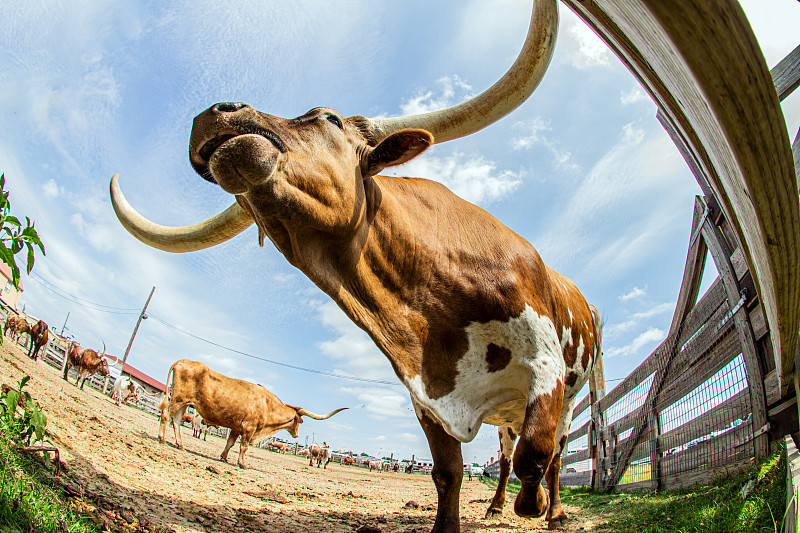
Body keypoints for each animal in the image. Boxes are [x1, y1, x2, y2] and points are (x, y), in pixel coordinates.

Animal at [158, 360, 346, 468]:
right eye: (299, 422)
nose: (297, 435)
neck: (267, 406)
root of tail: (183, 361)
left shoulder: (236, 428)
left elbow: (230, 443)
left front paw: (224, 458)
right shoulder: (249, 428)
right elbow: (244, 447)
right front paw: (242, 464)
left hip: (184, 404)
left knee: (176, 421)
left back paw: (180, 445)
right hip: (177, 399)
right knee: (165, 415)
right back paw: (162, 439)